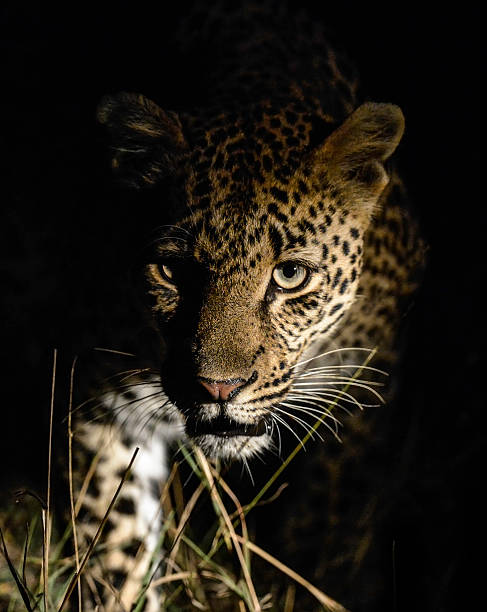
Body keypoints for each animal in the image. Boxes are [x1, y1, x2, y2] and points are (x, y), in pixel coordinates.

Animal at [1, 1, 426, 612]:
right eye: (173, 271)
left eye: (290, 274)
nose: (218, 390)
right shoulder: (102, 402)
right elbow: (117, 540)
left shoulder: (363, 406)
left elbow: (325, 543)